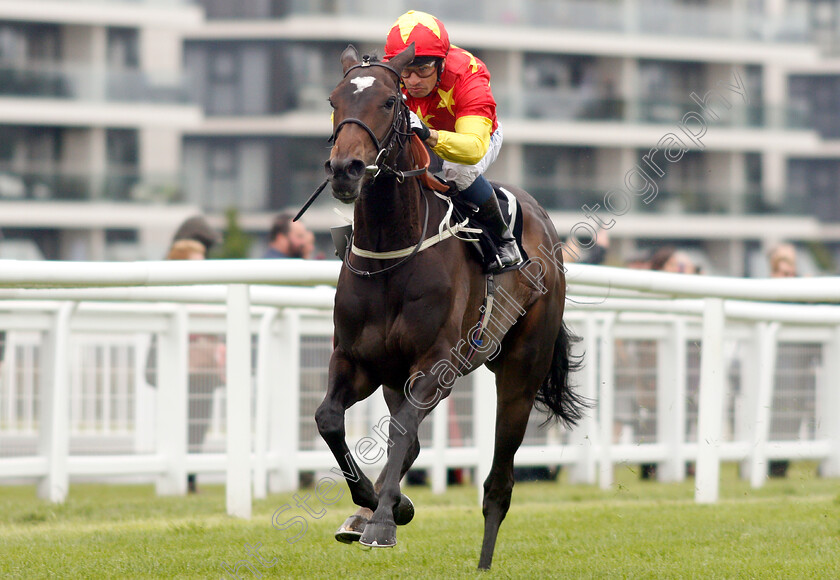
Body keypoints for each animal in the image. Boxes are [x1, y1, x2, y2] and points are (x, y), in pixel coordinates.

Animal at [314, 43, 584, 568]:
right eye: (335, 100)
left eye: (389, 102)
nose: (344, 170)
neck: (392, 256)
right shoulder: (356, 360)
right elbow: (331, 420)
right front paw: (374, 507)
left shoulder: (436, 364)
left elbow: (401, 432)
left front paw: (383, 520)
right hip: (395, 377)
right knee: (412, 441)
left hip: (521, 372)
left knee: (499, 482)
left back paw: (483, 560)